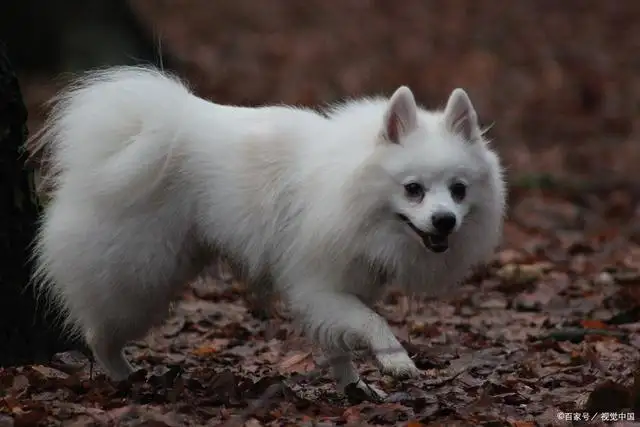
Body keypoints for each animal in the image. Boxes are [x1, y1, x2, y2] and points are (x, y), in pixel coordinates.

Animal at [30, 65, 508, 400]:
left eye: (459, 190)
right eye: (413, 189)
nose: (445, 220)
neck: (352, 188)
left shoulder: (342, 287)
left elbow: (340, 343)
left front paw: (354, 389)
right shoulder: (316, 285)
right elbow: (371, 323)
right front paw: (396, 361)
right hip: (140, 275)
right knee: (99, 332)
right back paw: (124, 377)